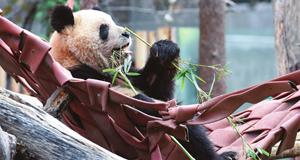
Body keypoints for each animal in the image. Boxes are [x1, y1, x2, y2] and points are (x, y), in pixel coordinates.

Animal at [48, 4, 237, 159]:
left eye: (114, 21)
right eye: (104, 29)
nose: (126, 33)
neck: (73, 57)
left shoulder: (125, 73)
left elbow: (155, 88)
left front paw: (165, 49)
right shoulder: (81, 76)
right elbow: (133, 102)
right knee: (187, 129)